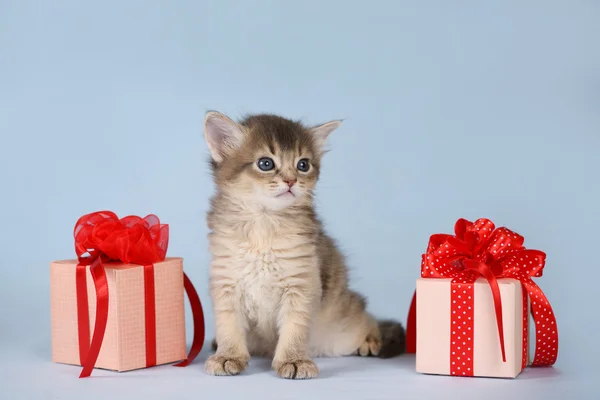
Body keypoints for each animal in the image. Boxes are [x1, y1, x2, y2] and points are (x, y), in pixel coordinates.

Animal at [204, 111, 406, 380]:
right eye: (265, 163)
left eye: (303, 165)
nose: (291, 181)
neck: (264, 225)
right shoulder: (226, 283)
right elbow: (228, 326)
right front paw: (228, 355)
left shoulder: (301, 284)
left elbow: (294, 328)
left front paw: (294, 360)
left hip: (343, 326)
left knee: (365, 315)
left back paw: (371, 339)